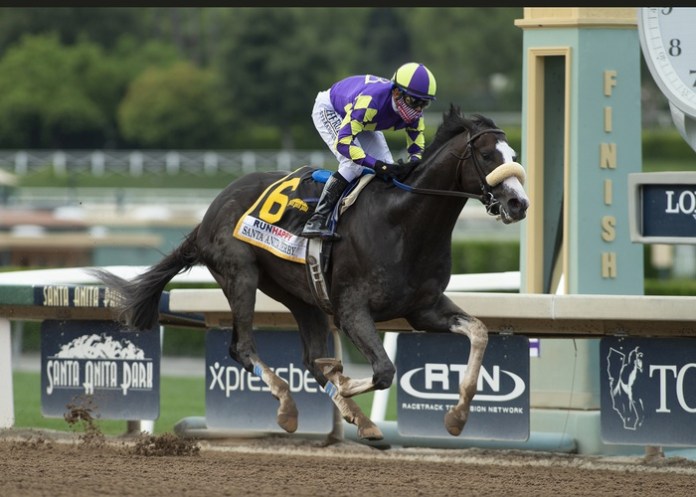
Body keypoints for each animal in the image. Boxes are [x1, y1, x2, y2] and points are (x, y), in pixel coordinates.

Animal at [91, 104, 529, 441]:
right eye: (488, 155)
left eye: (513, 153)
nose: (519, 203)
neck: (404, 223)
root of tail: (207, 215)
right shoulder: (352, 310)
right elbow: (382, 371)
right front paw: (347, 388)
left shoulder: (424, 309)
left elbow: (479, 332)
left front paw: (457, 416)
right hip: (241, 275)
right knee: (243, 347)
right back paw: (289, 406)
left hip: (302, 298)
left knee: (309, 358)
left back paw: (360, 420)